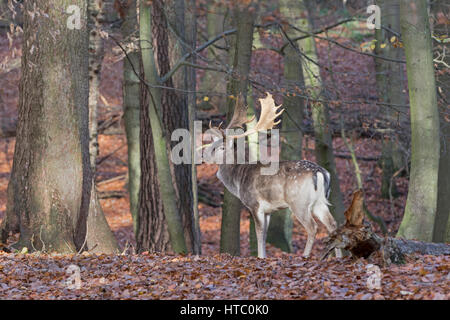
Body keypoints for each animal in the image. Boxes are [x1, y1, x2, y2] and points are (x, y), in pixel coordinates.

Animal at [205, 92, 342, 258]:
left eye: (221, 147)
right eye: (212, 144)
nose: (205, 155)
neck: (238, 179)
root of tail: (321, 172)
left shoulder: (254, 204)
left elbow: (259, 233)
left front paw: (260, 256)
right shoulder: (269, 210)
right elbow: (264, 235)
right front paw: (264, 256)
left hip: (299, 201)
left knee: (312, 227)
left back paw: (305, 255)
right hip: (320, 201)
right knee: (333, 225)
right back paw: (339, 257)